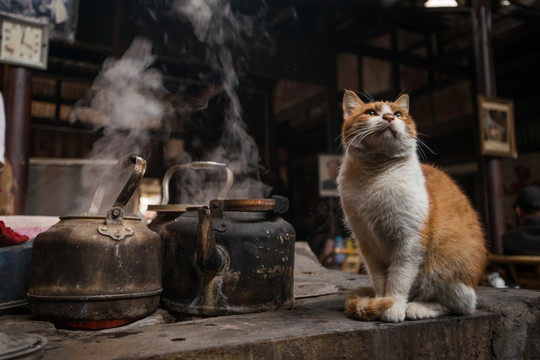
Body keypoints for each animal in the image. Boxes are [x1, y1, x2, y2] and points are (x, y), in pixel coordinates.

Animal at [340, 90, 488, 324]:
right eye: (371, 113)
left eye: (398, 114)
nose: (388, 117)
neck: (375, 177)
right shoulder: (367, 244)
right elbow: (380, 280)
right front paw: (380, 302)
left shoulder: (409, 241)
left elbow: (398, 279)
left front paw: (393, 306)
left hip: (447, 268)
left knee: (460, 305)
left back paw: (418, 307)